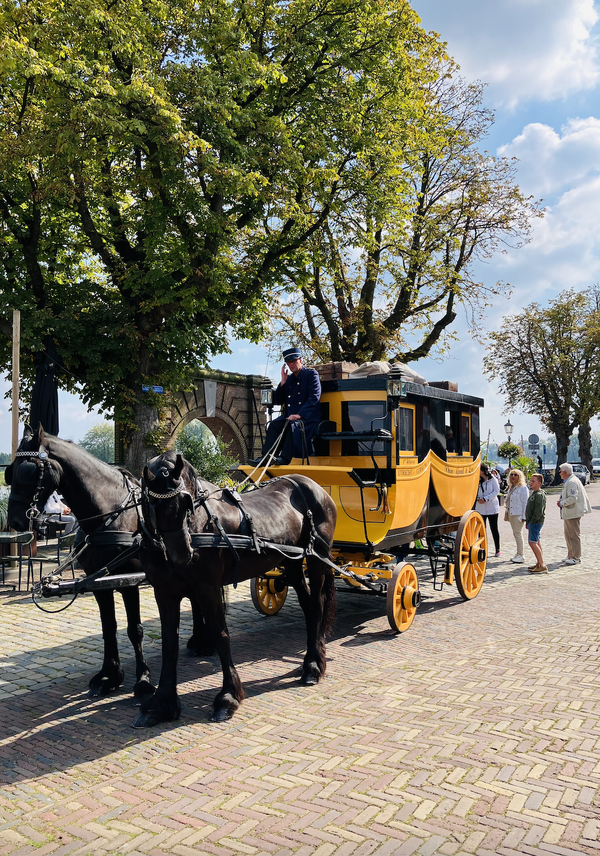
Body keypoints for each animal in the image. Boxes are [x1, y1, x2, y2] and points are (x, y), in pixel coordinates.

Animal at [6, 424, 157, 700]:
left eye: (28, 470)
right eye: (11, 472)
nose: (15, 521)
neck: (108, 514)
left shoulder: (129, 581)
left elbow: (135, 629)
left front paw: (143, 679)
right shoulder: (97, 581)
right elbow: (108, 626)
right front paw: (109, 675)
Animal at [134, 452, 338, 724]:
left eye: (186, 502)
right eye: (153, 506)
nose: (182, 554)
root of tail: (313, 485)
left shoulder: (208, 589)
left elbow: (221, 636)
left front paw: (228, 697)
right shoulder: (164, 592)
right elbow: (169, 644)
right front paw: (161, 704)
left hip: (316, 559)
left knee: (316, 605)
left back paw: (314, 667)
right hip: (292, 561)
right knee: (308, 605)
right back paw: (309, 662)